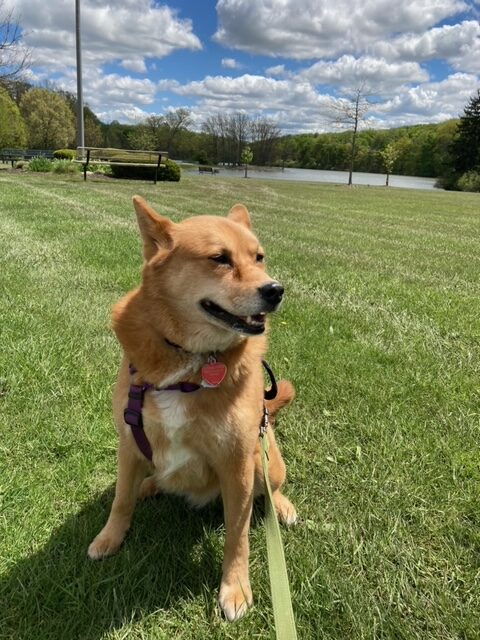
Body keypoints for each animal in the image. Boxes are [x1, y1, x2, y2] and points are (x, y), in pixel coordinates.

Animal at [87, 198, 296, 624]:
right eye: (219, 258)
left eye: (259, 257)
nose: (275, 290)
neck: (192, 361)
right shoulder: (128, 442)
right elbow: (120, 500)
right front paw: (109, 538)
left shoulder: (237, 463)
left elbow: (238, 534)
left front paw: (235, 588)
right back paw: (149, 485)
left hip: (265, 455)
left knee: (273, 487)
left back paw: (282, 506)